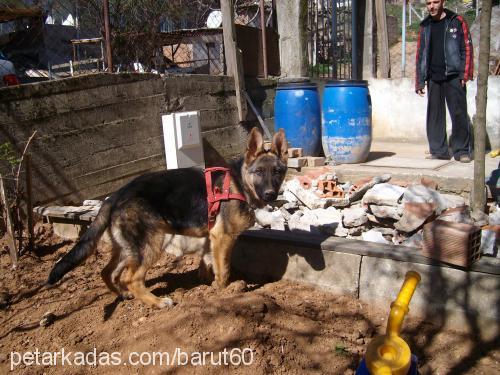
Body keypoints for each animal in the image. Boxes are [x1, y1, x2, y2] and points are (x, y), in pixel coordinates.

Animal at [49, 129, 290, 308]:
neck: (240, 182)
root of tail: (117, 195)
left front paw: (205, 282)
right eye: (259, 172)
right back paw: (156, 301)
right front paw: (225, 291)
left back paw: (123, 295)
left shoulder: (211, 237)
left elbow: (207, 260)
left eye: (278, 172)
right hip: (152, 244)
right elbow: (223, 269)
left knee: (107, 271)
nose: (270, 194)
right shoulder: (223, 237)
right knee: (131, 278)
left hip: (127, 249)